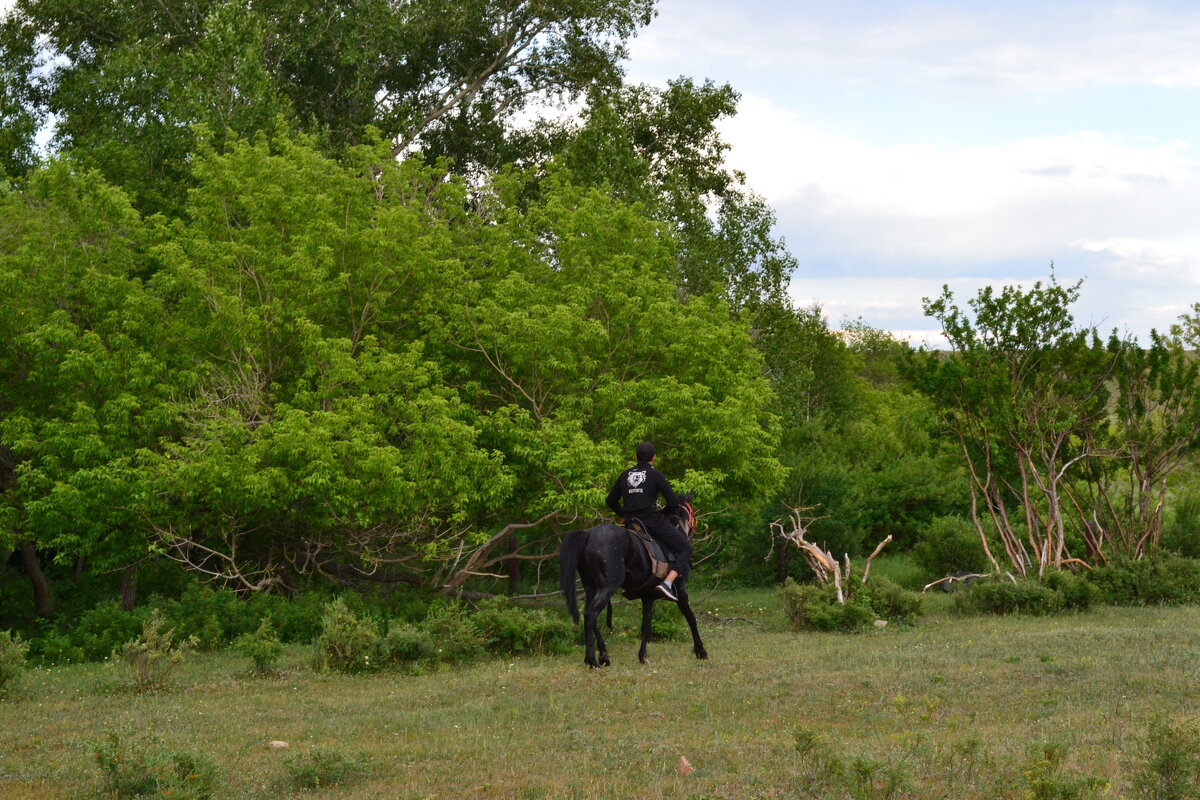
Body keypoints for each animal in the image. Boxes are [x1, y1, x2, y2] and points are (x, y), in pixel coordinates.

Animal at [559, 501, 705, 671]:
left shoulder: (647, 596)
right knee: (590, 614)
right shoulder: (681, 592)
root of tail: (588, 535)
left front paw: (643, 657)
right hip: (607, 587)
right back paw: (593, 661)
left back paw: (603, 656)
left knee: (590, 615)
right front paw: (701, 651)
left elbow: (646, 626)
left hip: (591, 588)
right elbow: (691, 618)